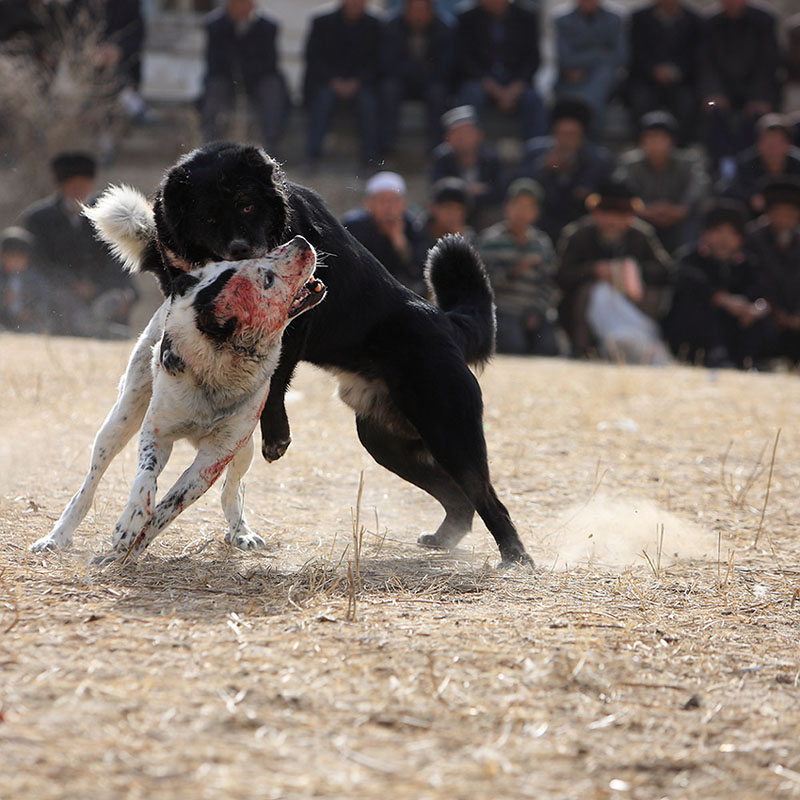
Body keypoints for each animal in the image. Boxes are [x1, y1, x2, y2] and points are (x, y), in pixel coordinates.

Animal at [103, 144, 536, 568]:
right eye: (208, 217)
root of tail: (444, 321)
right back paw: (446, 538)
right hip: (386, 443)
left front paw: (275, 435)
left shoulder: (296, 321)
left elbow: (275, 376)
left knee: (488, 498)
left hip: (450, 432)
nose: (242, 251)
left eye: (247, 206)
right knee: (460, 499)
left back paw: (516, 556)